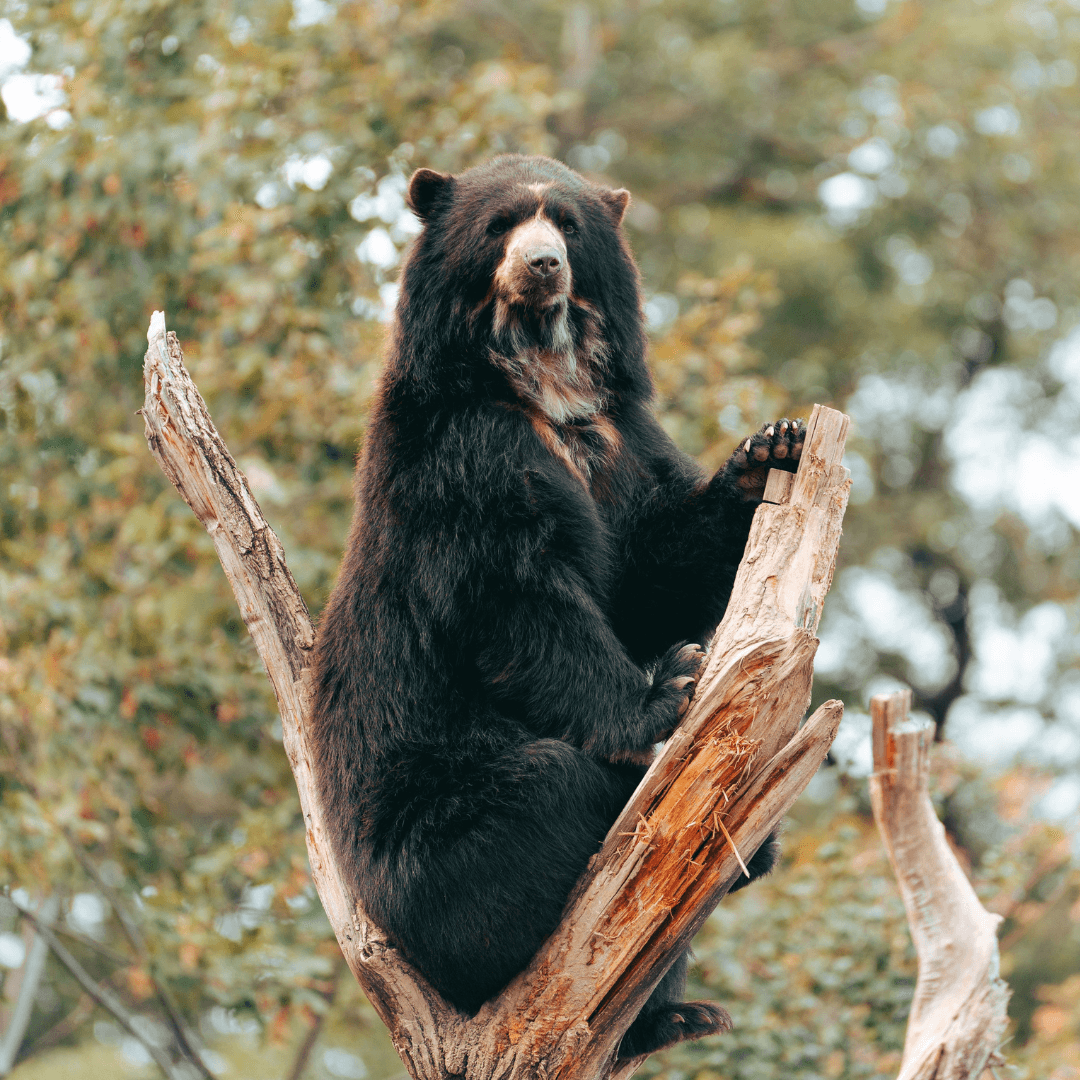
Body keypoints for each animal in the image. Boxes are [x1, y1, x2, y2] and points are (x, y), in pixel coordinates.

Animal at [310, 154, 804, 1059]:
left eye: (568, 226)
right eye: (503, 223)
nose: (543, 265)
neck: (543, 385)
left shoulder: (620, 444)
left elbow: (655, 564)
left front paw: (768, 450)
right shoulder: (462, 457)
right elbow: (517, 594)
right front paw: (667, 687)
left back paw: (678, 1013)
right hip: (432, 843)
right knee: (548, 792)